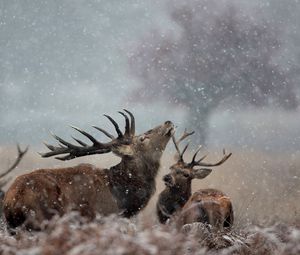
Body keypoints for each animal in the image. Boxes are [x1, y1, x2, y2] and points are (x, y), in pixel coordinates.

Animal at [4, 110, 173, 230]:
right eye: (143, 138)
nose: (168, 122)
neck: (122, 200)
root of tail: (12, 199)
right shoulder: (99, 218)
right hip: (42, 220)